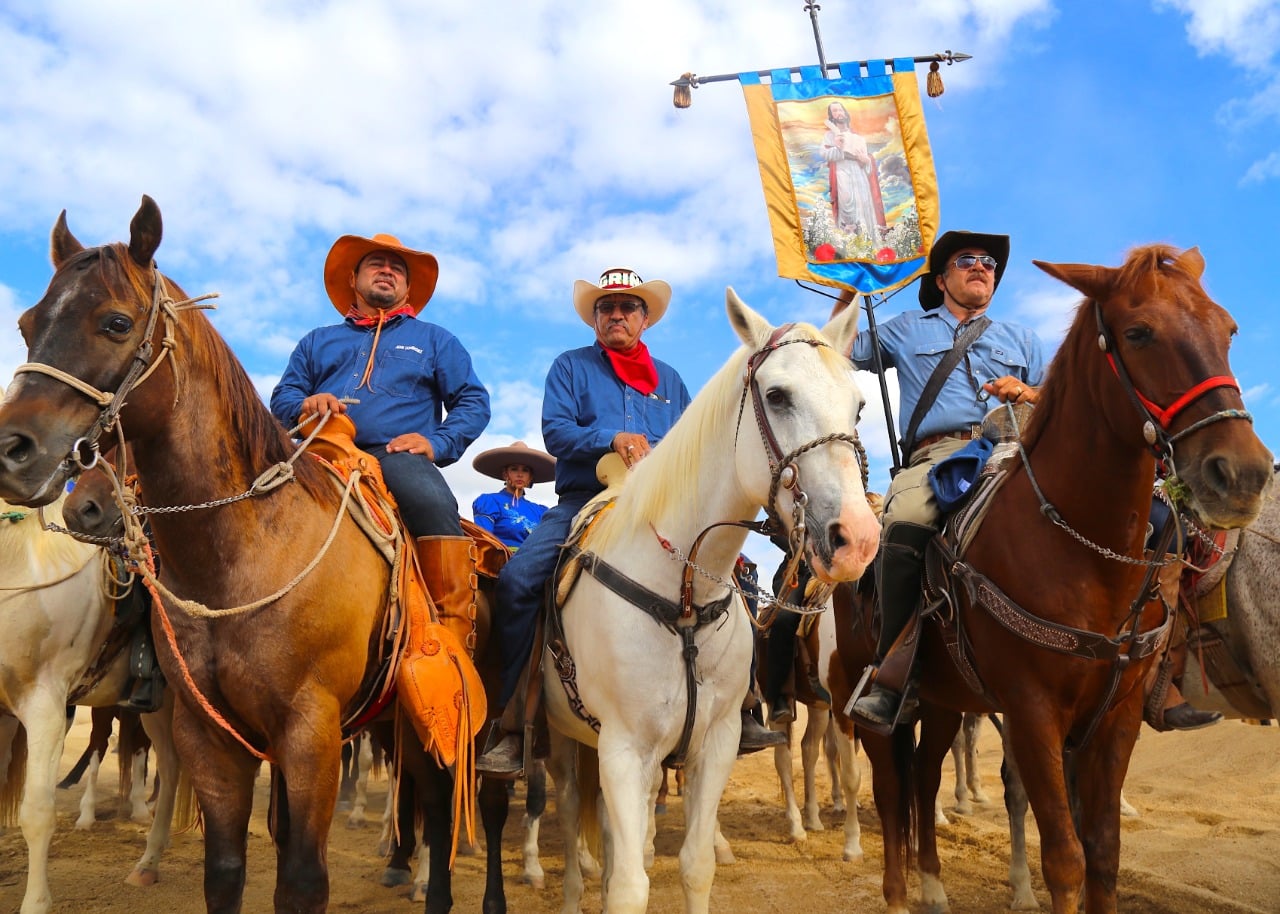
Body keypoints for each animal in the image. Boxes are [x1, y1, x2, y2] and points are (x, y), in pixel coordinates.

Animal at [540, 293, 880, 911]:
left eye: (859, 406)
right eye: (777, 395)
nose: (857, 539)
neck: (682, 600)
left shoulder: (715, 744)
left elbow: (694, 865)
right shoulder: (624, 750)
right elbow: (630, 886)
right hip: (560, 739)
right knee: (573, 811)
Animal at [834, 245, 1274, 911]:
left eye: (1228, 330)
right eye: (1138, 332)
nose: (1243, 475)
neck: (1080, 553)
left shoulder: (1117, 715)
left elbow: (1104, 852)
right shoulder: (1031, 710)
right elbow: (1065, 858)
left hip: (941, 699)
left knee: (926, 778)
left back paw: (933, 886)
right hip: (880, 704)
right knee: (890, 792)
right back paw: (897, 893)